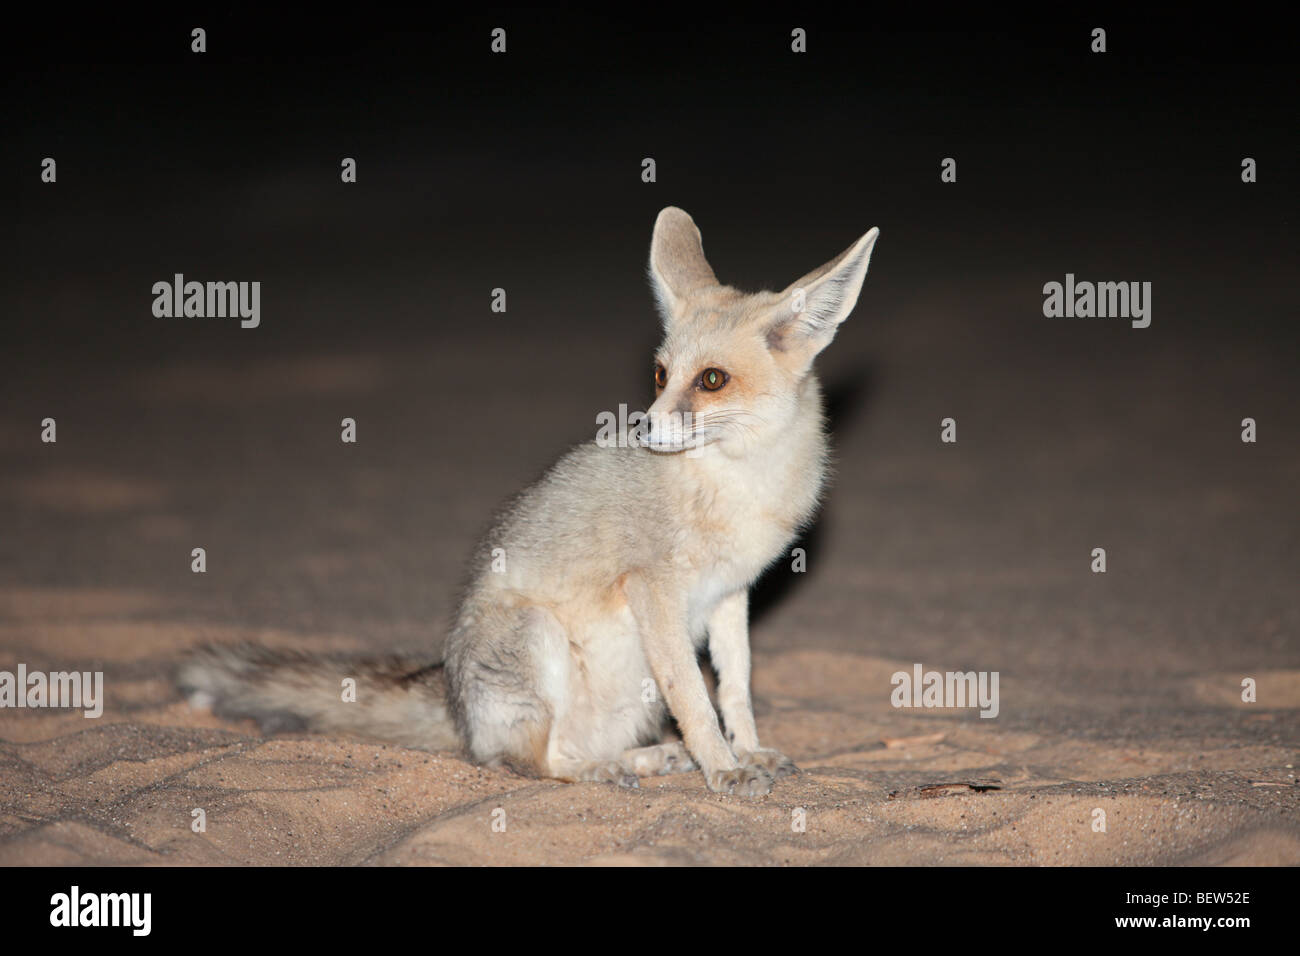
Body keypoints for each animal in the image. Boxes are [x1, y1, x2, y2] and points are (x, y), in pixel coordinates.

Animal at [180, 207, 879, 796]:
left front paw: (748, 752)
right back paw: (600, 772)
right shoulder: (655, 590)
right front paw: (724, 769)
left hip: (633, 691)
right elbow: (695, 700)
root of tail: (455, 709)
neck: (741, 481)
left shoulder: (731, 594)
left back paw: (641, 758)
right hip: (539, 637)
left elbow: (735, 691)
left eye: (711, 381)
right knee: (528, 762)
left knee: (567, 749)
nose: (644, 429)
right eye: (660, 376)